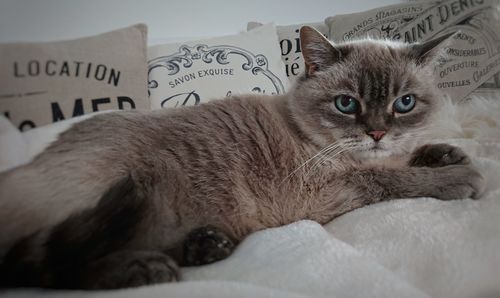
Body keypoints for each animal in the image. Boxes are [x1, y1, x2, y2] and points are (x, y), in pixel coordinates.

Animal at [0, 26, 484, 290]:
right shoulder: (329, 191)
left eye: (404, 104)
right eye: (347, 104)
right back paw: (147, 269)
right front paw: (461, 176)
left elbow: (410, 158)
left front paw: (445, 153)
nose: (377, 132)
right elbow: (394, 180)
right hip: (124, 195)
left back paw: (206, 245)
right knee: (40, 265)